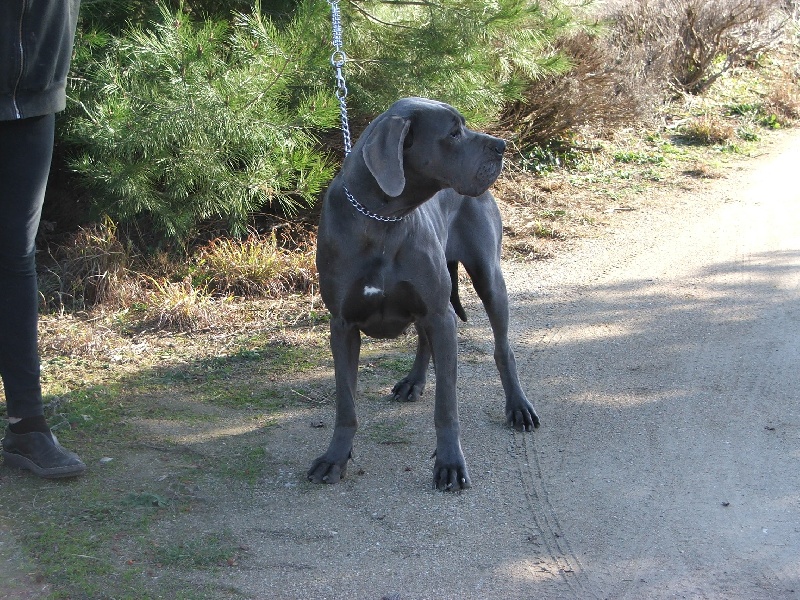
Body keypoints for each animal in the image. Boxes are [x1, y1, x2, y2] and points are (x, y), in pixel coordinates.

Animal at [310, 97, 539, 491]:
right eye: (453, 132)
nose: (502, 145)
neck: (381, 219)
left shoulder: (439, 315)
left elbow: (446, 405)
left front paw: (450, 464)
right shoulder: (342, 326)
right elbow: (346, 403)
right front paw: (335, 458)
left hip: (488, 279)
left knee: (502, 348)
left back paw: (519, 407)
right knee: (423, 339)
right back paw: (414, 382)